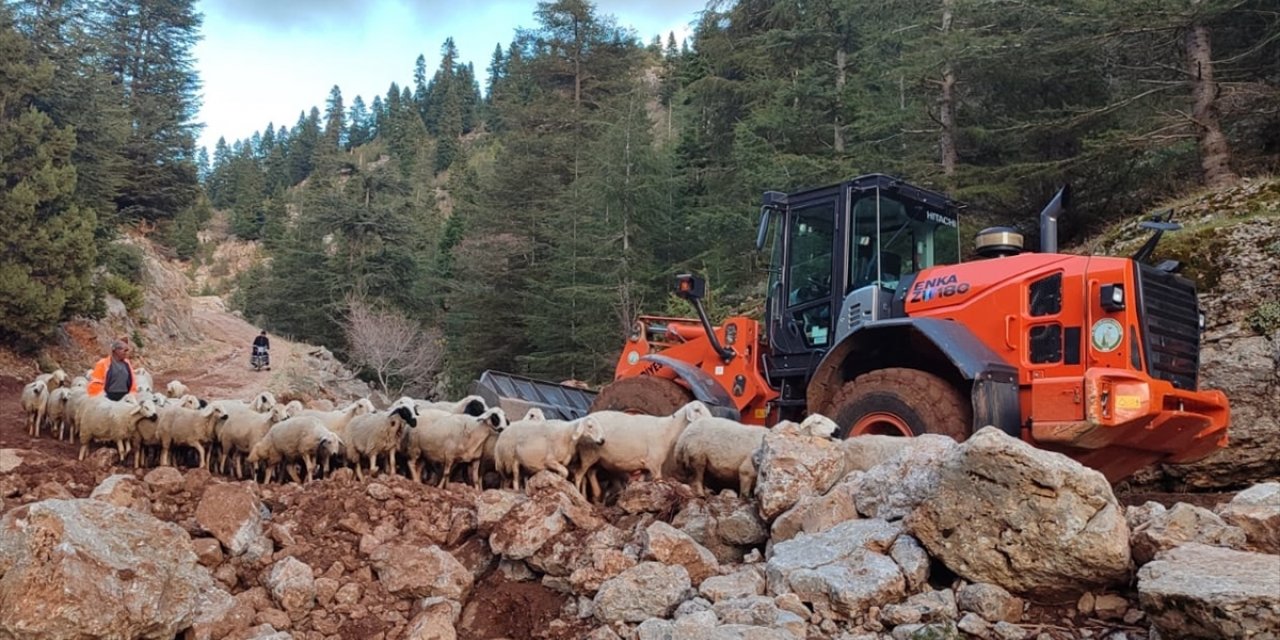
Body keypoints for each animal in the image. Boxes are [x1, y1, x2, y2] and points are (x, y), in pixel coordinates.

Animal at [576, 399, 716, 499]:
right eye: (697, 410)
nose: (711, 421)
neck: (668, 430)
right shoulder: (654, 463)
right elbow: (659, 481)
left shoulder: (645, 466)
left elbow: (641, 483)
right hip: (589, 453)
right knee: (580, 475)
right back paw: (582, 496)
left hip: (598, 458)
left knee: (590, 472)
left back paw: (596, 494)